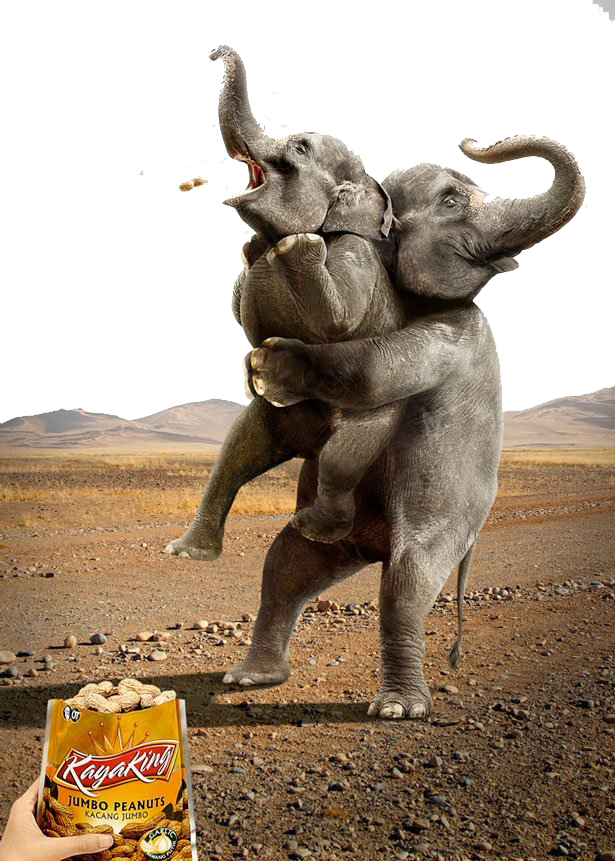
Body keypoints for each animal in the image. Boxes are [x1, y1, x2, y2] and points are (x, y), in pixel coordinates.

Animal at [165, 44, 407, 558]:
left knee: (341, 456)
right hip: (277, 413)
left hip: (376, 410)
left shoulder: (357, 254)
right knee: (236, 449)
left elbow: (339, 320)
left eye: (298, 149)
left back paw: (315, 531)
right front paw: (251, 247)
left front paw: (296, 244)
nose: (212, 51)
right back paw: (186, 552)